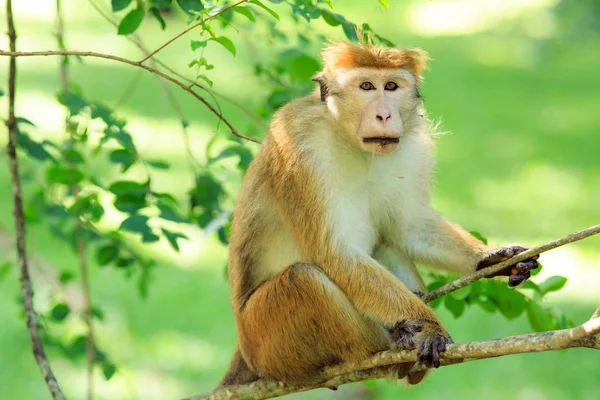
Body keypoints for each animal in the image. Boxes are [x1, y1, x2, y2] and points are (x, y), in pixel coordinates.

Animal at [218, 39, 540, 388]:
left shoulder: (413, 148)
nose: (384, 115)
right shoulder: (298, 144)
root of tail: (243, 352)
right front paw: (427, 326)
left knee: (386, 242)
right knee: (303, 279)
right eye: (366, 86)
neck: (348, 139)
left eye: (391, 86)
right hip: (268, 342)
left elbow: (408, 227)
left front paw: (494, 258)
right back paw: (388, 350)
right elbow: (335, 253)